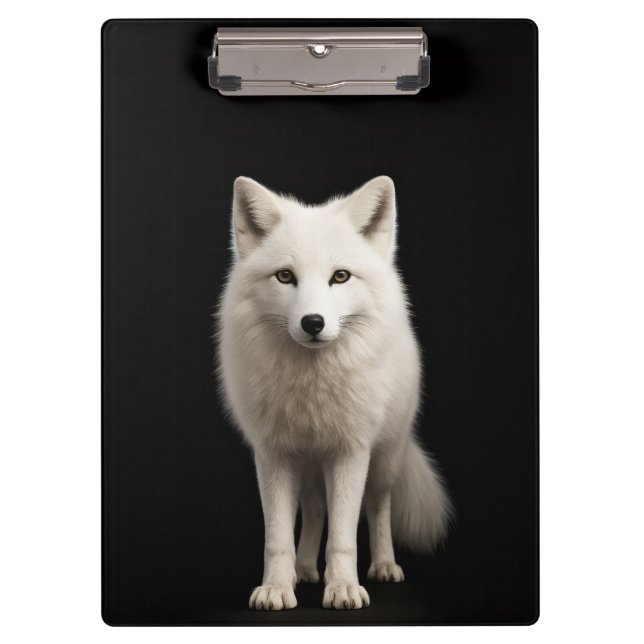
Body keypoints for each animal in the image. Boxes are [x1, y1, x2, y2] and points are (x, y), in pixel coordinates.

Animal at [216, 175, 453, 611]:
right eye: (285, 276)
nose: (313, 323)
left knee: (377, 508)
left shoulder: (350, 452)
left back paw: (383, 566)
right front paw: (277, 587)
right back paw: (305, 570)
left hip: (384, 459)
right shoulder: (274, 455)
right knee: (313, 512)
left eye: (340, 276)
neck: (312, 389)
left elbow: (343, 537)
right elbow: (278, 538)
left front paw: (343, 588)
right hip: (309, 468)